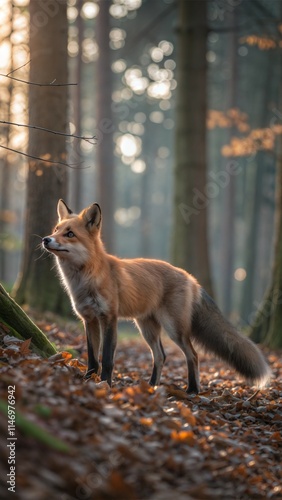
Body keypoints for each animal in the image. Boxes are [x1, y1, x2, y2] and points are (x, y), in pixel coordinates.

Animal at [43, 201, 270, 392]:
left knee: (193, 355)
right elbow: (92, 358)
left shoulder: (109, 318)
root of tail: (191, 278)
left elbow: (106, 358)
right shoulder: (89, 319)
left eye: (70, 234)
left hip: (174, 329)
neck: (85, 280)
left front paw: (105, 384)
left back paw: (192, 390)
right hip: (147, 327)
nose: (46, 239)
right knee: (161, 356)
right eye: (56, 230)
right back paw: (152, 385)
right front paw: (88, 380)